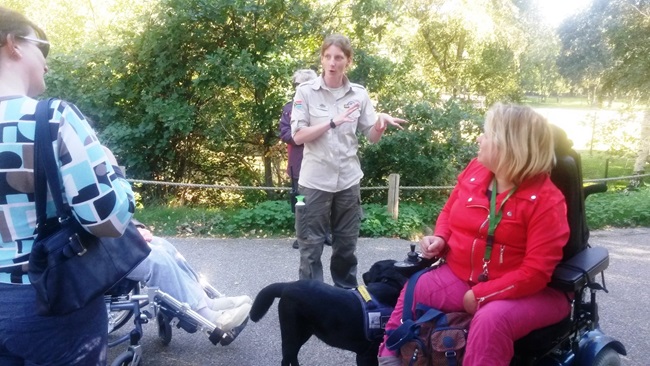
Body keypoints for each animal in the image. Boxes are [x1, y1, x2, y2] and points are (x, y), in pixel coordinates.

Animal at [248, 258, 420, 366]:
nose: (364, 274)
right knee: (286, 358)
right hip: (291, 332)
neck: (389, 283)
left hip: (304, 332)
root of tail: (288, 285)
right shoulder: (366, 355)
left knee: (292, 356)